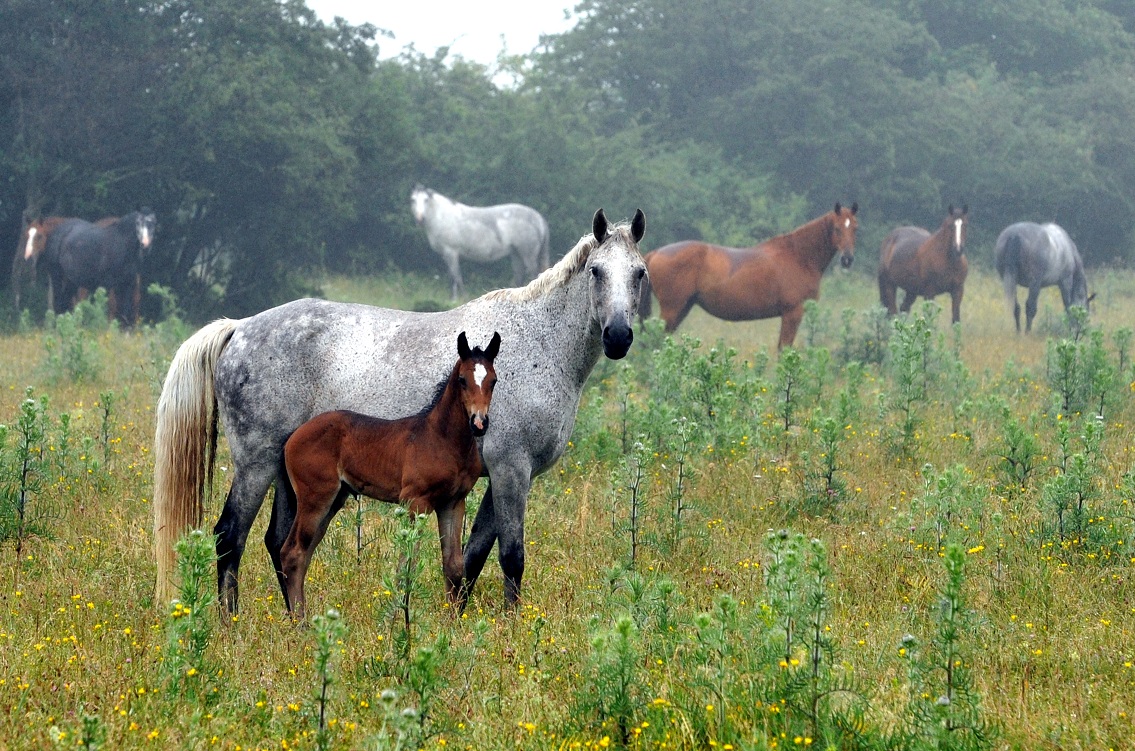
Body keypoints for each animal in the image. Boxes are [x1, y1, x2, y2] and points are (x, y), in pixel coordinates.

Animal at [276, 328, 499, 617]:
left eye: (493, 381)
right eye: (462, 380)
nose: (479, 422)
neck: (443, 439)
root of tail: (292, 437)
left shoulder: (453, 502)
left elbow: (453, 566)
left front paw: (453, 622)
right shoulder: (415, 501)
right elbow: (406, 566)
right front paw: (395, 618)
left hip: (334, 500)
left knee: (304, 553)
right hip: (315, 497)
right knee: (292, 552)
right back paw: (300, 622)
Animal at [410, 184, 551, 299]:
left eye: (426, 200)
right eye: (413, 200)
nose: (420, 219)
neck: (442, 217)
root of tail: (538, 218)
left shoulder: (451, 252)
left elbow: (455, 276)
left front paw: (458, 298)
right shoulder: (446, 255)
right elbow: (452, 276)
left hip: (528, 255)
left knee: (533, 274)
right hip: (516, 253)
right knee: (519, 275)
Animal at [640, 203, 858, 349]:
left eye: (855, 228)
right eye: (837, 228)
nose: (848, 259)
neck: (798, 256)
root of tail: (655, 253)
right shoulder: (792, 313)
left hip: (682, 309)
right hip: (672, 310)